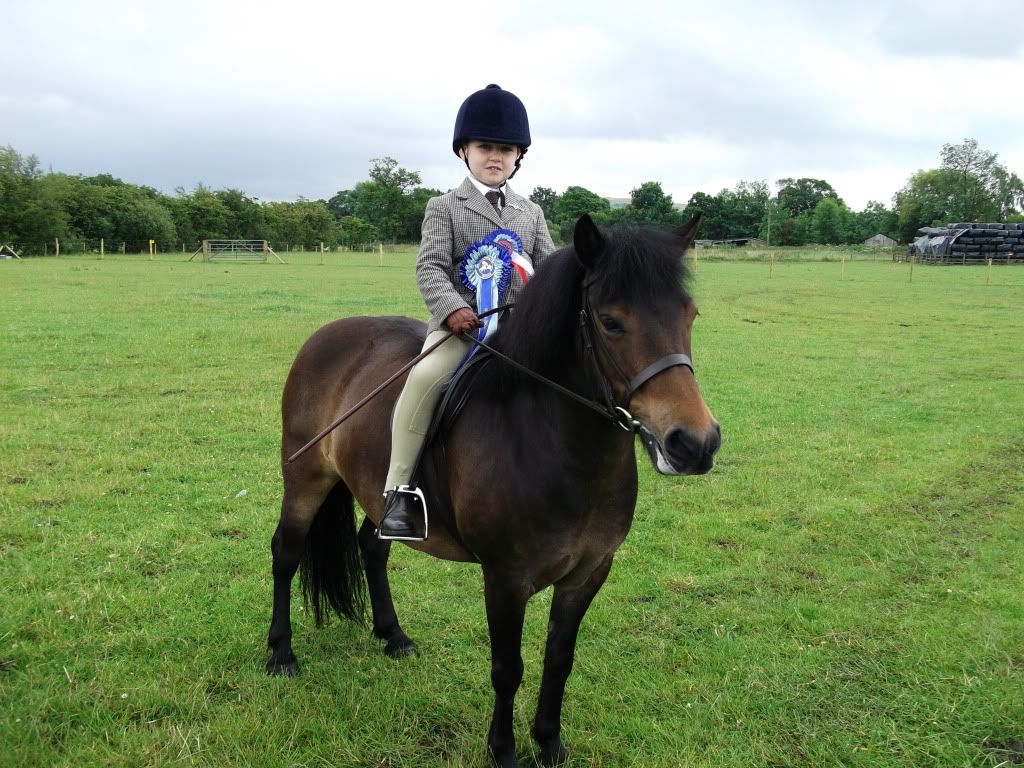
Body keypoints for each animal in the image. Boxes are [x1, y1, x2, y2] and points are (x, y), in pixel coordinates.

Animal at [266, 212, 720, 768]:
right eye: (611, 321)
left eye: (690, 314)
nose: (695, 443)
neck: (556, 446)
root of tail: (328, 335)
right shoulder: (505, 579)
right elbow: (508, 668)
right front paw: (503, 751)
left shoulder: (588, 573)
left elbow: (559, 659)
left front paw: (549, 742)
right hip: (306, 477)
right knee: (286, 552)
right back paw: (281, 654)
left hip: (377, 492)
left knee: (373, 548)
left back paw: (393, 636)